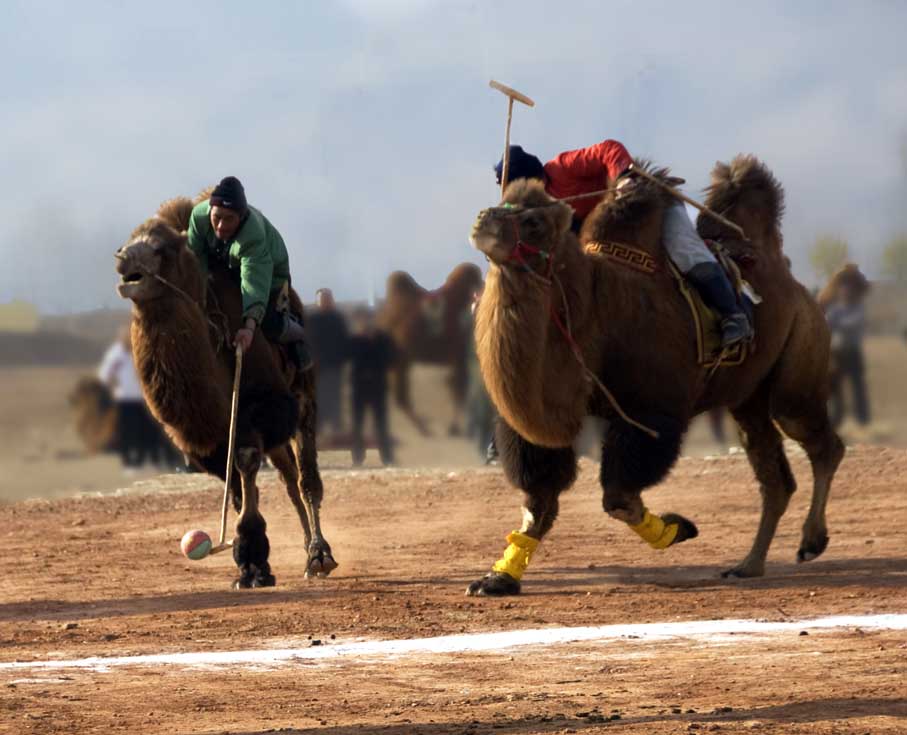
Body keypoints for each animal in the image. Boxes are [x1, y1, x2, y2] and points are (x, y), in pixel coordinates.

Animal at [115, 194, 336, 588]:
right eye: (128, 240)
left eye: (161, 249)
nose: (123, 259)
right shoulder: (210, 439)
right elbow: (233, 483)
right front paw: (251, 565)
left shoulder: (259, 411)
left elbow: (246, 464)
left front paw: (251, 557)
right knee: (289, 479)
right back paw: (306, 551)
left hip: (303, 397)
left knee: (307, 479)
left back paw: (319, 556)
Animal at [380, 264, 486, 436]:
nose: (483, 286)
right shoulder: (458, 355)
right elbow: (458, 388)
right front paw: (454, 427)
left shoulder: (457, 357)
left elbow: (455, 387)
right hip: (401, 359)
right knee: (401, 396)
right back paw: (423, 427)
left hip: (402, 361)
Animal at [468, 157, 844, 600]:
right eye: (504, 200)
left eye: (532, 222)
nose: (483, 219)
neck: (594, 311)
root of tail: (792, 283)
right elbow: (539, 500)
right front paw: (498, 578)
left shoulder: (650, 412)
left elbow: (619, 498)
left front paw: (677, 530)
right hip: (746, 400)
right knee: (775, 477)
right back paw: (748, 565)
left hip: (793, 380)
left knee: (821, 443)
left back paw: (811, 542)